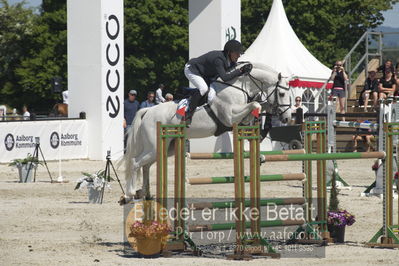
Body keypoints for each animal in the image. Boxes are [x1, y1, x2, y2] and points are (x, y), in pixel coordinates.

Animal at [122, 62, 290, 204]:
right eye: (282, 94)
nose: (287, 118)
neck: (238, 87)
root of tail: (148, 111)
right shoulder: (230, 116)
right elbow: (255, 105)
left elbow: (257, 112)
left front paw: (261, 147)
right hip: (154, 147)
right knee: (135, 162)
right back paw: (130, 194)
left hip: (165, 148)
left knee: (146, 166)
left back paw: (146, 194)